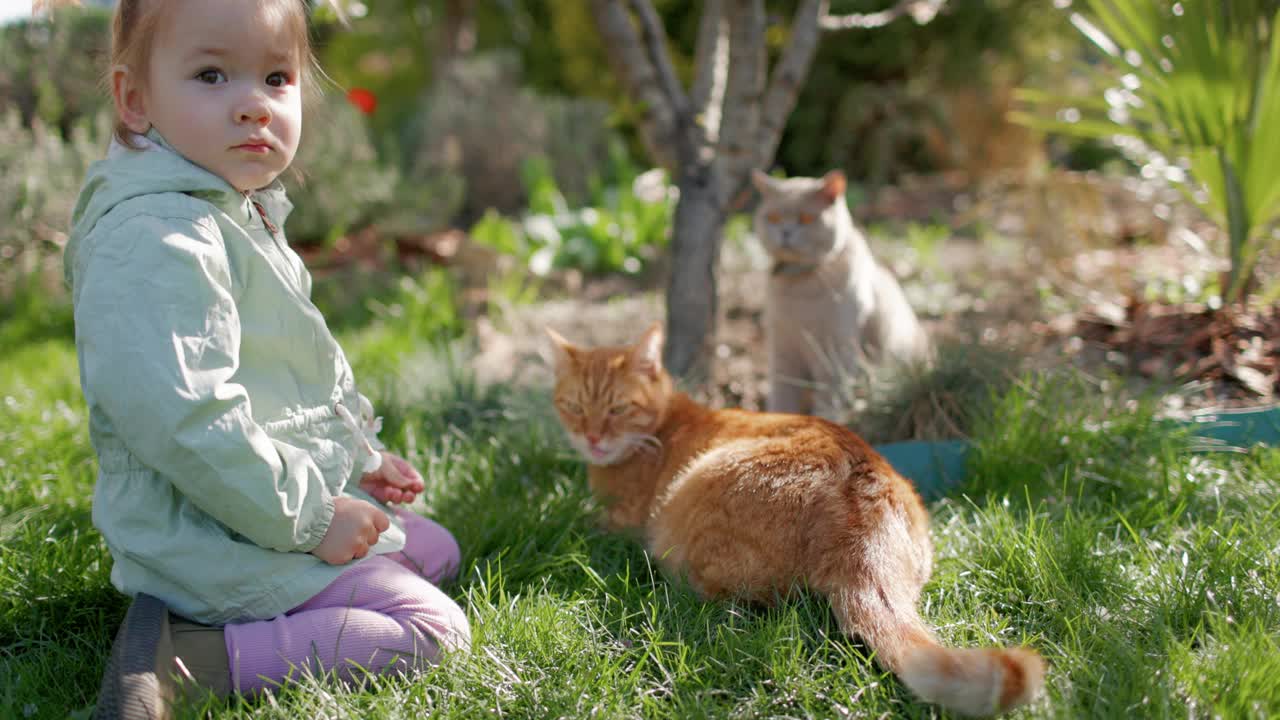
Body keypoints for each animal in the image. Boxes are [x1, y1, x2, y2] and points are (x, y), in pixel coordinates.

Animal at [545, 322, 1044, 712]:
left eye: (617, 408)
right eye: (573, 407)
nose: (591, 438)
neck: (662, 426)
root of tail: (860, 525)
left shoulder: (614, 520)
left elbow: (565, 516)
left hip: (689, 522)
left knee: (726, 598)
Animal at [747, 169, 931, 415]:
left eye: (806, 219)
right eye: (774, 218)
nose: (785, 232)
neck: (800, 294)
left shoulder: (836, 353)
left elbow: (828, 399)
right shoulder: (782, 349)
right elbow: (782, 397)